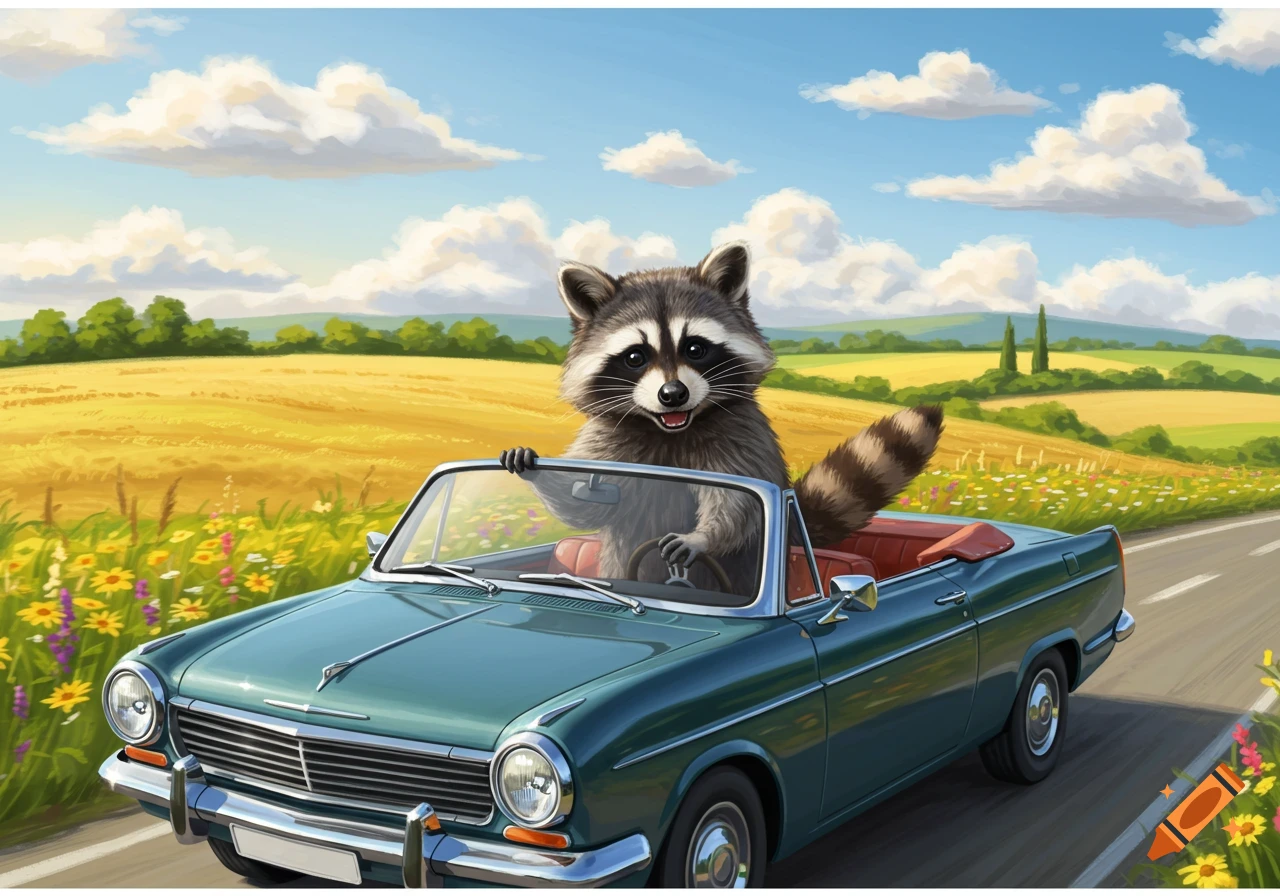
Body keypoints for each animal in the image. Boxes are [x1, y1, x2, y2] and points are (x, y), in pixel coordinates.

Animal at [499, 241, 943, 594]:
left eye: (695, 348)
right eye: (635, 357)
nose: (672, 394)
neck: (671, 431)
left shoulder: (741, 435)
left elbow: (737, 503)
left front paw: (702, 537)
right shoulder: (610, 439)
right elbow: (587, 502)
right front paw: (534, 470)